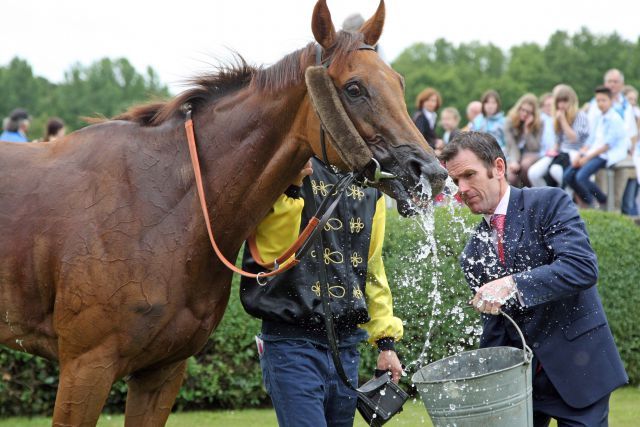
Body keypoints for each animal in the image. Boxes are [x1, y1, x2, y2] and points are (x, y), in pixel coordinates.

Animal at [0, 1, 444, 426]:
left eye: (399, 83)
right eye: (354, 88)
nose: (432, 172)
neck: (156, 207)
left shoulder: (163, 370)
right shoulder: (86, 365)